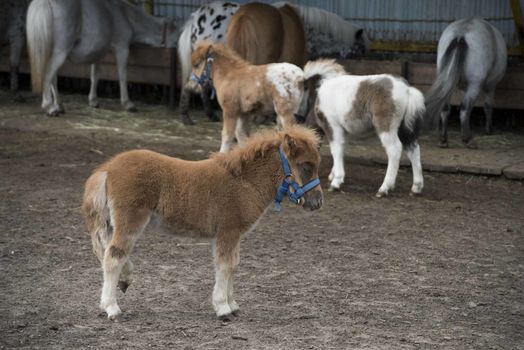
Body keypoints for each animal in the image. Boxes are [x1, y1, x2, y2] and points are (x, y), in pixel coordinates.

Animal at [26, 0, 178, 116]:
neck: (125, 15)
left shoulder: (98, 53)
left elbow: (95, 76)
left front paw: (93, 100)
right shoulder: (122, 48)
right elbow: (122, 75)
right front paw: (127, 104)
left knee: (53, 77)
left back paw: (59, 105)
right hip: (60, 52)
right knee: (48, 75)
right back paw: (50, 107)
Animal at [81, 125, 324, 320]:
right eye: (306, 166)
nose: (318, 201)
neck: (244, 182)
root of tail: (107, 169)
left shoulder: (233, 235)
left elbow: (234, 265)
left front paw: (233, 305)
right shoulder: (228, 231)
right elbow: (225, 266)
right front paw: (223, 308)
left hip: (112, 223)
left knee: (107, 252)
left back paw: (124, 281)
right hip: (130, 221)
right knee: (113, 257)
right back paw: (112, 308)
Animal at [300, 59, 428, 197]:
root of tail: (407, 90)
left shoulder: (333, 126)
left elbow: (336, 150)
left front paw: (336, 182)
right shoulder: (343, 131)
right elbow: (341, 149)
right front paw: (333, 175)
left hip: (386, 127)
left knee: (394, 150)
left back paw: (384, 188)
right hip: (404, 129)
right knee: (413, 149)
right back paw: (416, 187)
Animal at [426, 17, 508, 148]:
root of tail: (461, 34)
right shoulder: (491, 86)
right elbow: (488, 106)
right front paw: (488, 129)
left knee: (445, 107)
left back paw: (443, 139)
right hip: (475, 85)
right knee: (465, 108)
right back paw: (467, 139)